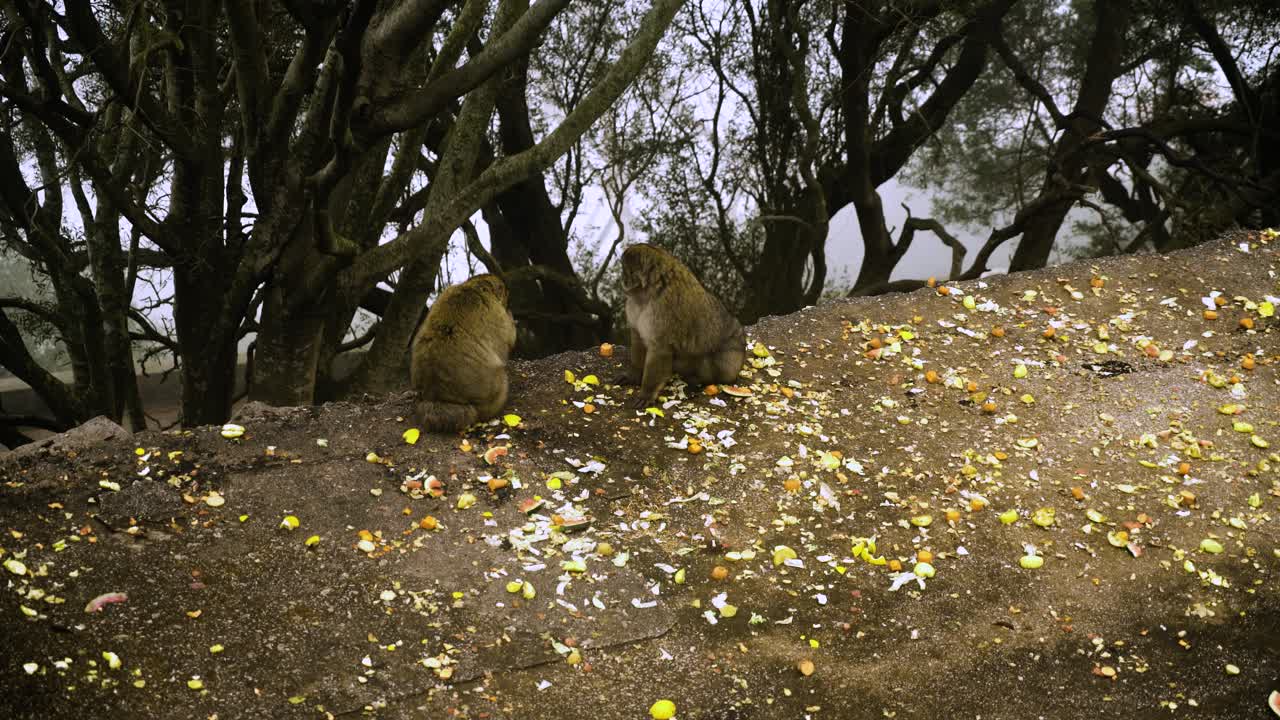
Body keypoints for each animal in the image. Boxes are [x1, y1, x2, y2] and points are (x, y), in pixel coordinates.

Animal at [410, 274, 517, 432]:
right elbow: (508, 338)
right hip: (493, 394)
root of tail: (439, 398)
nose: (508, 299)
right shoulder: (496, 313)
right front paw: (511, 316)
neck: (475, 287)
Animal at [617, 243, 746, 408]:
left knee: (713, 360)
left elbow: (660, 349)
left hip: (732, 359)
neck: (646, 293)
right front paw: (634, 375)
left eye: (624, 269)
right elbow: (638, 338)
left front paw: (647, 393)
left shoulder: (662, 312)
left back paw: (698, 381)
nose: (622, 279)